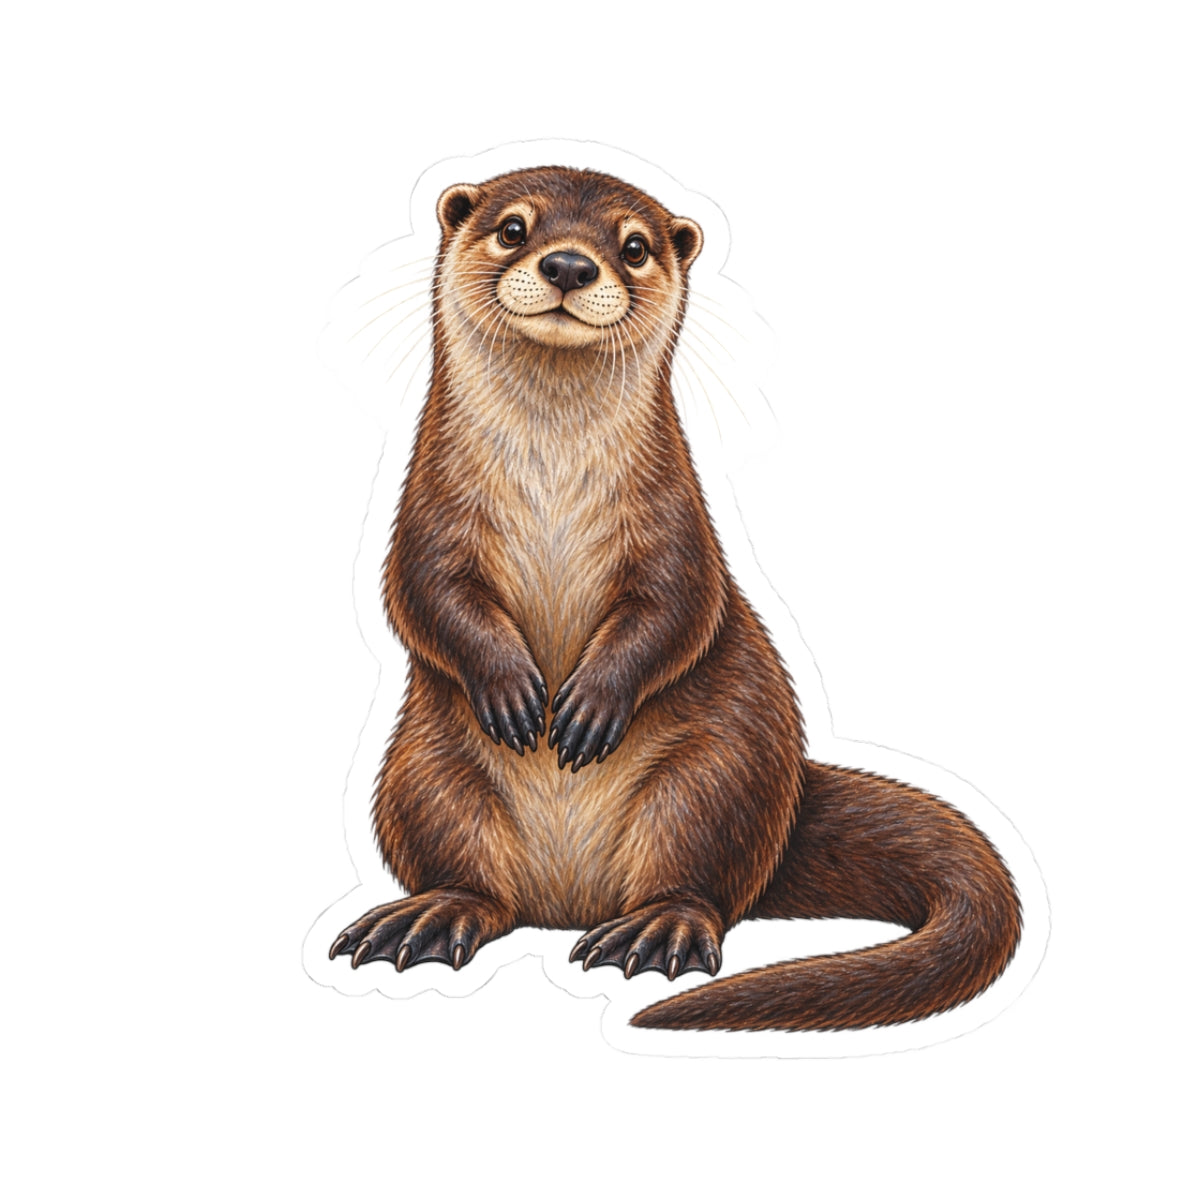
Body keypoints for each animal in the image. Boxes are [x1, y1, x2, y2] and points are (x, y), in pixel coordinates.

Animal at [327, 166, 1021, 1031]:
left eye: (633, 246)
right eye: (513, 228)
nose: (569, 265)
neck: (552, 486)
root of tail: (567, 903)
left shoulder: (677, 527)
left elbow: (680, 609)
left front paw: (591, 704)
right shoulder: (427, 518)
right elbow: (421, 594)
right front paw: (511, 688)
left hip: (719, 774)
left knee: (705, 880)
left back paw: (657, 928)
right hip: (423, 773)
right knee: (475, 878)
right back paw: (433, 912)